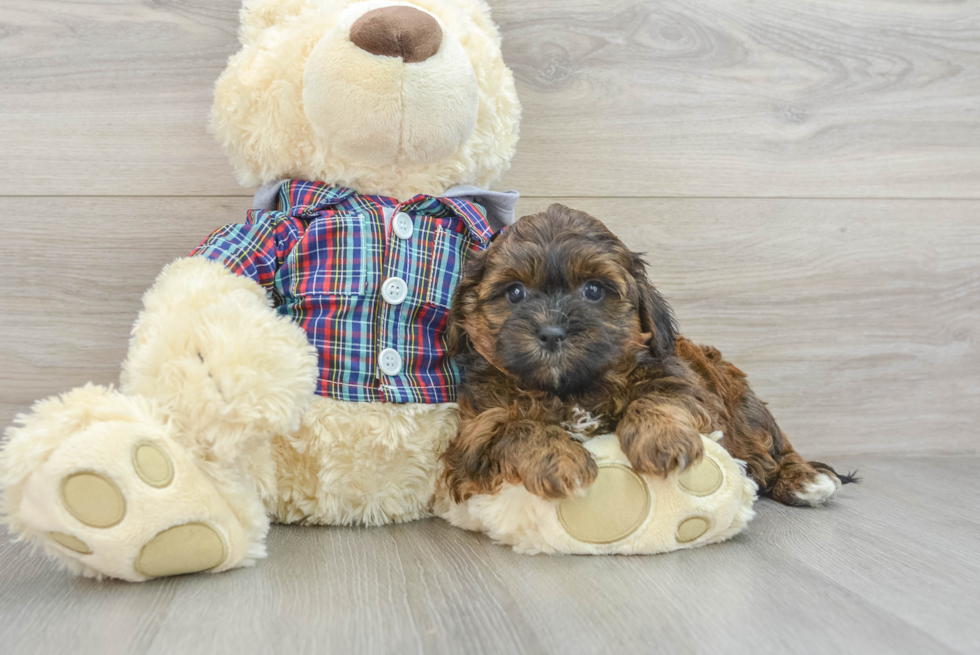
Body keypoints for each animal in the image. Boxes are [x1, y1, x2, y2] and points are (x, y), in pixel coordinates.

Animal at [440, 205, 852, 508]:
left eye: (593, 290)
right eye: (514, 293)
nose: (552, 332)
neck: (571, 390)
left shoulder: (685, 385)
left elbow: (656, 398)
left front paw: (663, 440)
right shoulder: (475, 436)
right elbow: (517, 428)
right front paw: (561, 461)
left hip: (743, 406)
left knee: (770, 450)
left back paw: (804, 479)